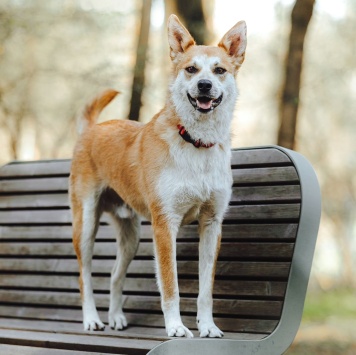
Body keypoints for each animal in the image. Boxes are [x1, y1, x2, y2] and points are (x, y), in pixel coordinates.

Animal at [70, 13, 248, 340]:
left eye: (219, 70)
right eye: (191, 69)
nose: (205, 85)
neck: (195, 142)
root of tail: (91, 129)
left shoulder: (212, 224)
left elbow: (206, 289)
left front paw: (208, 326)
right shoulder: (165, 225)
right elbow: (170, 285)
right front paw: (176, 326)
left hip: (131, 237)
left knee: (114, 276)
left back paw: (116, 317)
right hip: (86, 224)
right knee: (84, 276)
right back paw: (92, 319)